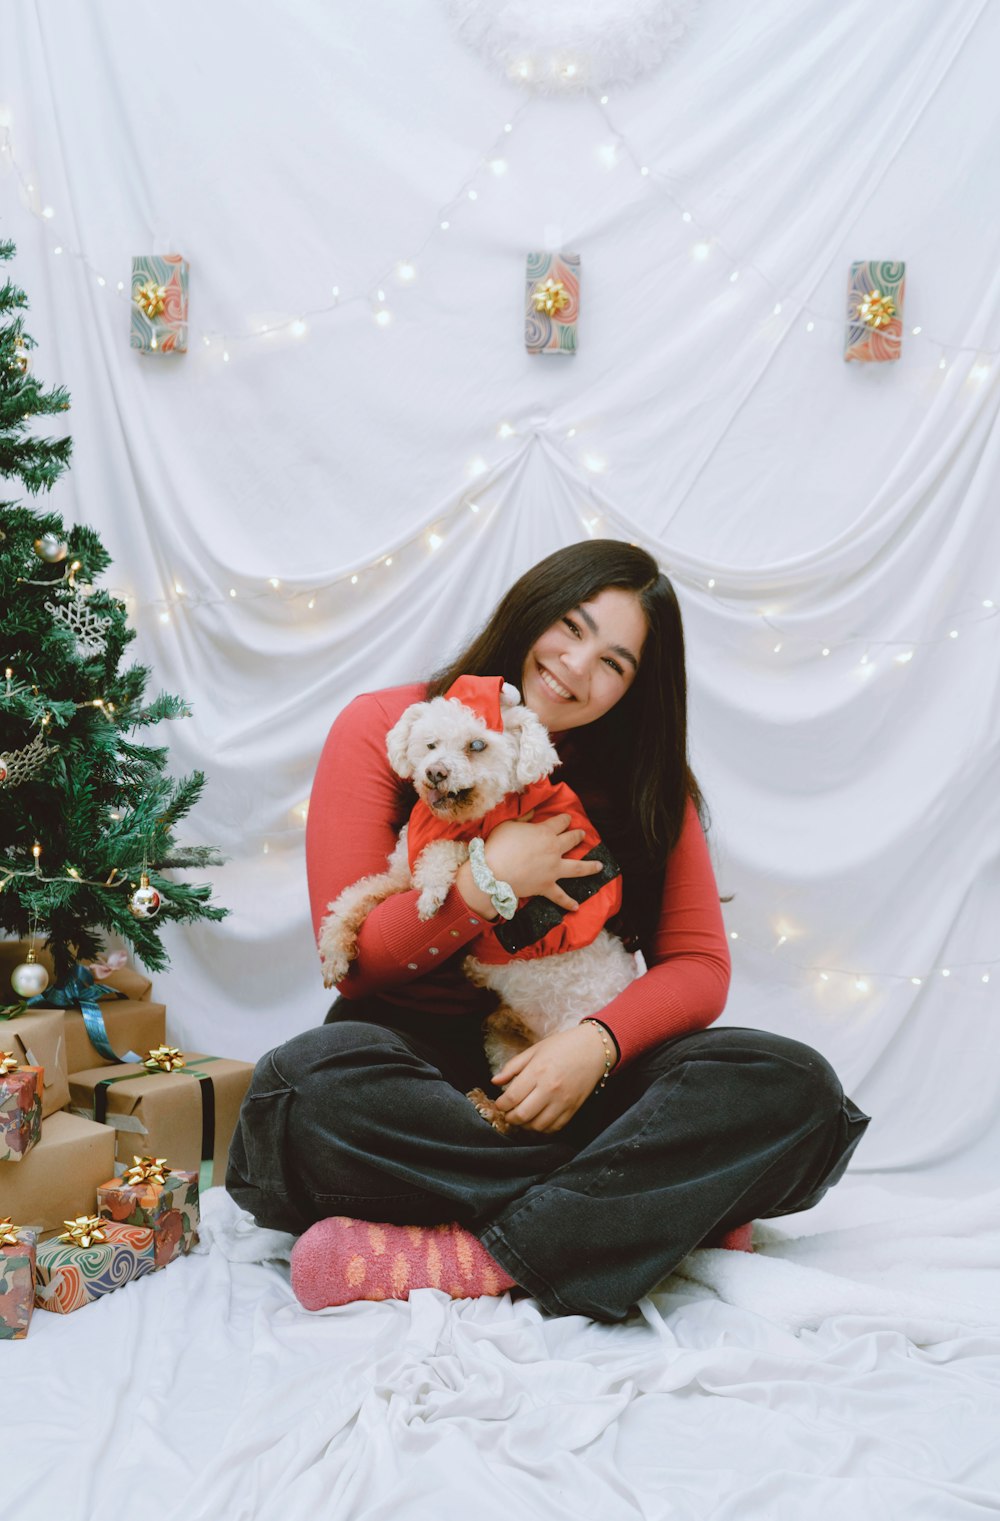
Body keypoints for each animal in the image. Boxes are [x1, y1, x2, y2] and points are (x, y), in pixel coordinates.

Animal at [316, 678, 636, 1131]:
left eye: (477, 745)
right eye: (430, 744)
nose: (435, 771)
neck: (453, 819)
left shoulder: (484, 846)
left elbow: (455, 852)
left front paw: (434, 891)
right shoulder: (397, 876)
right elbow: (355, 897)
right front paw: (335, 952)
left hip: (561, 1053)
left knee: (528, 1114)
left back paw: (491, 1111)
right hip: (503, 1038)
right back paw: (490, 1109)